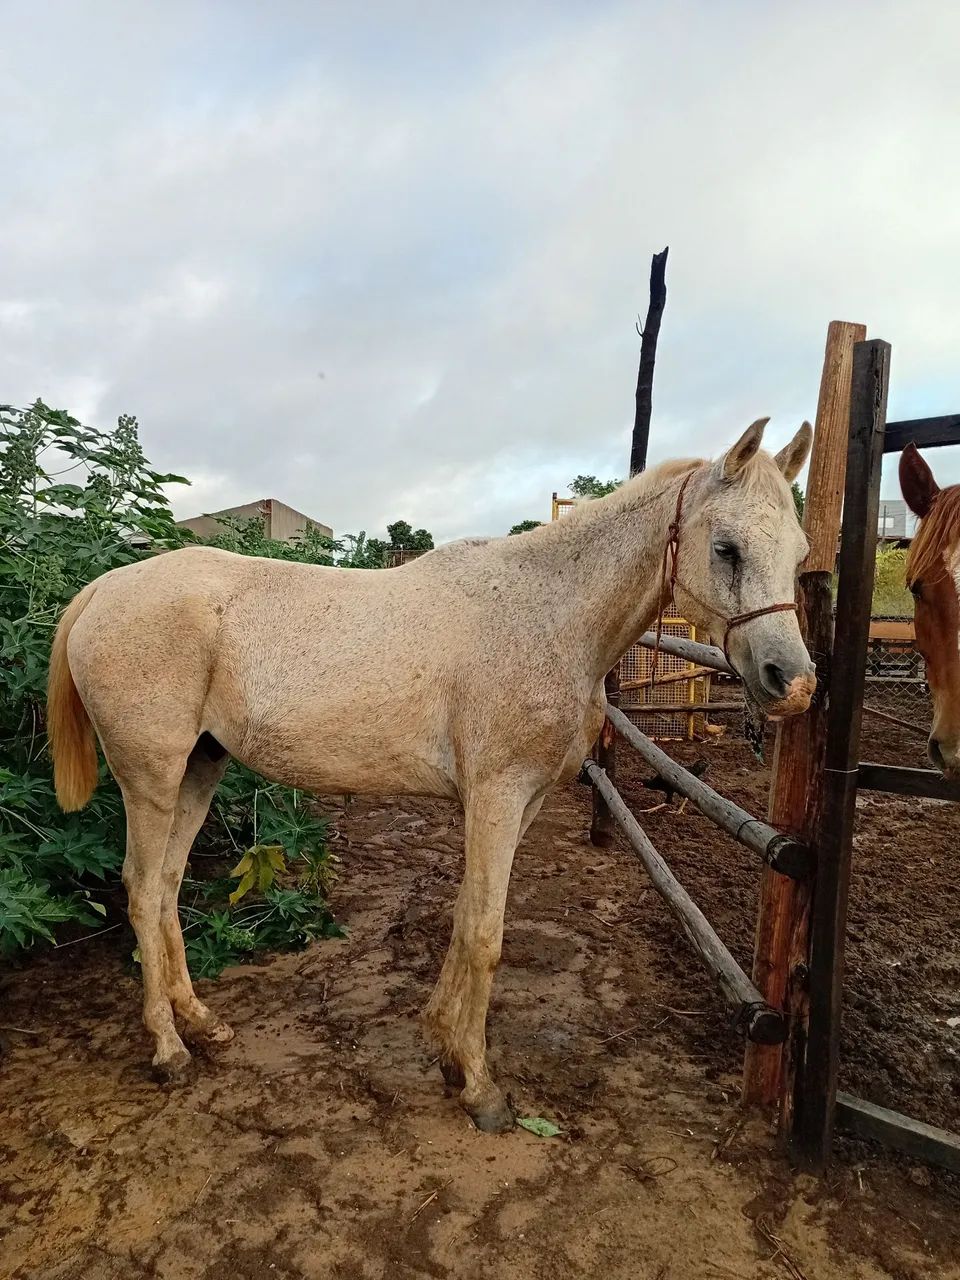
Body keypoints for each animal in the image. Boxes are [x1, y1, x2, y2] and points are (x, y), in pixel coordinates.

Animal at [47, 417, 815, 1132]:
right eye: (727, 548)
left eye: (801, 553)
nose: (794, 682)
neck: (545, 614)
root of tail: (102, 590)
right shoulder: (497, 796)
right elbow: (485, 934)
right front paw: (478, 1085)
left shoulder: (519, 802)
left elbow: (467, 917)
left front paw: (444, 1044)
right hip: (149, 778)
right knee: (142, 889)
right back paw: (169, 1050)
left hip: (197, 771)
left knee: (168, 887)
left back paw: (202, 1023)